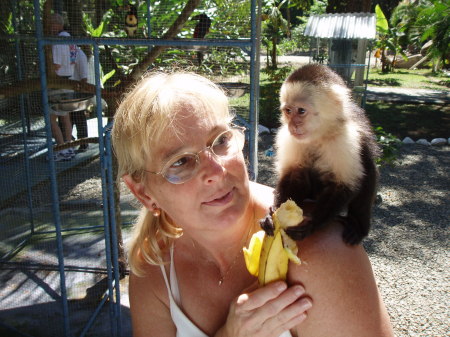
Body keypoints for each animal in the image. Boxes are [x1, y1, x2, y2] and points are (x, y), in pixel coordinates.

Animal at [268, 63, 382, 244]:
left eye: (301, 111)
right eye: (288, 111)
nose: (292, 125)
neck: (320, 134)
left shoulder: (344, 139)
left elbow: (343, 184)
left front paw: (311, 223)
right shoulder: (289, 137)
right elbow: (294, 174)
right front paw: (274, 213)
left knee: (369, 171)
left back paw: (357, 224)